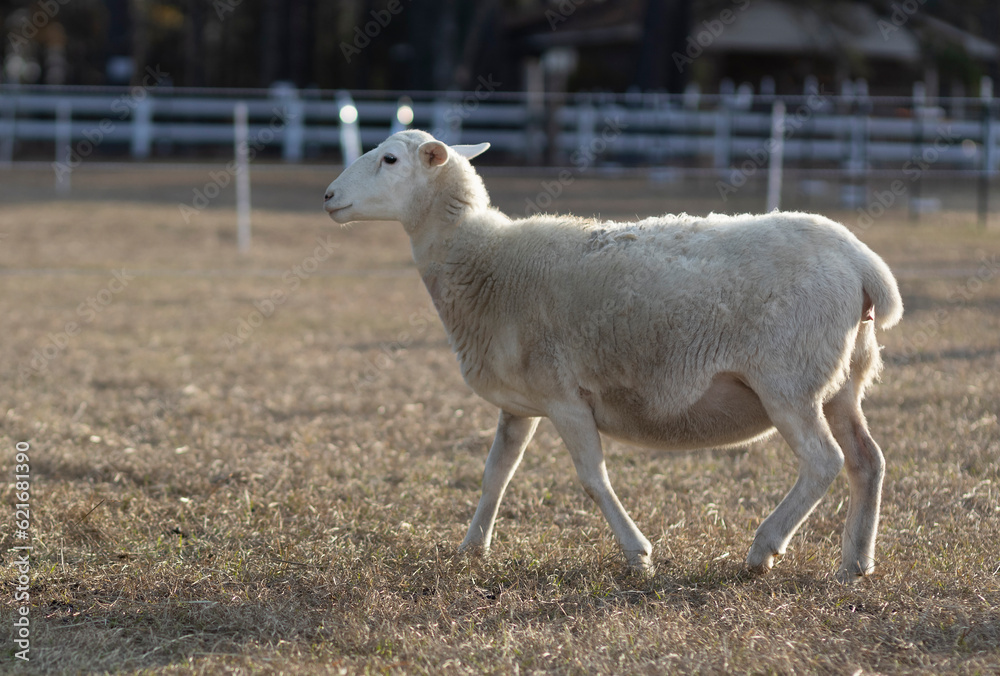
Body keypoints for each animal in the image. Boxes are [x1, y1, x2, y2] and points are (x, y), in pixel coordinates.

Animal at [323, 129, 903, 582]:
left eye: (389, 159)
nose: (328, 196)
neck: (483, 258)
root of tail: (862, 262)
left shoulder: (565, 397)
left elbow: (592, 477)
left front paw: (638, 554)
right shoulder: (519, 402)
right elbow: (496, 473)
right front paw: (472, 549)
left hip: (790, 380)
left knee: (823, 461)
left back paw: (764, 549)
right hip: (842, 381)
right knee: (866, 460)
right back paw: (855, 563)